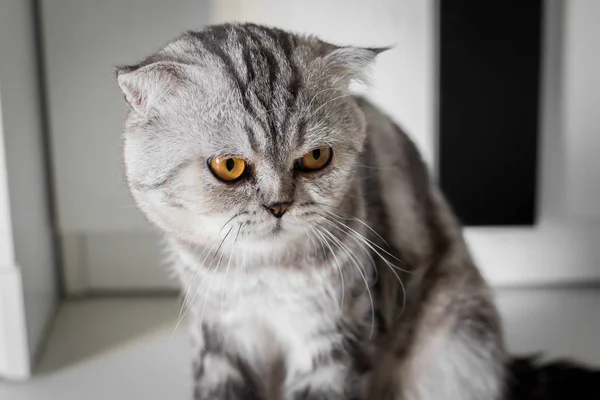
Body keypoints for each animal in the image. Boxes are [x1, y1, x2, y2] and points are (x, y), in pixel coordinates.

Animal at [115, 22, 596, 400]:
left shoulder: (338, 337)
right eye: (229, 166)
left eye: (315, 157)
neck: (266, 272)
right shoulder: (223, 339)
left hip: (456, 342)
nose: (279, 205)